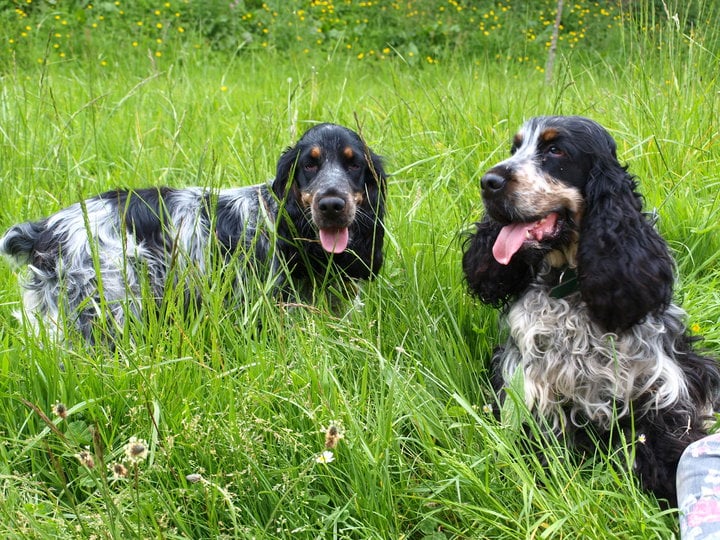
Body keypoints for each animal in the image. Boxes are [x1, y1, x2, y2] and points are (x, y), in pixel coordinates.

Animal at [462, 116, 720, 504]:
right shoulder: (531, 393)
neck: (570, 286)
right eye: (515, 148)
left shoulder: (657, 391)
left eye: (555, 150)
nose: (488, 182)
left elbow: (669, 444)